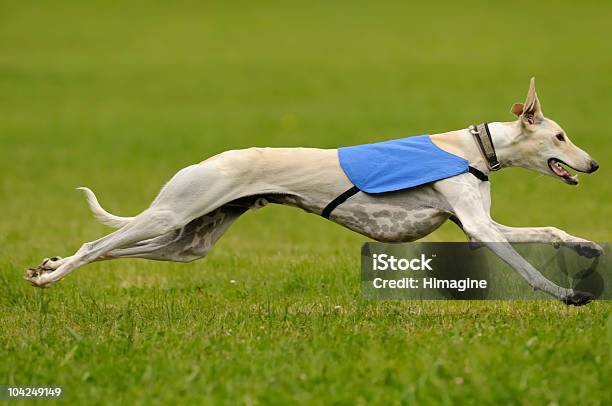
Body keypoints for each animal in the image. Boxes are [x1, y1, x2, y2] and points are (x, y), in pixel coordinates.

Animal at [27, 77, 604, 304]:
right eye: (560, 136)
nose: (594, 164)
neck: (474, 147)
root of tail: (208, 161)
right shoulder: (480, 229)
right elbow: (525, 265)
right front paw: (566, 294)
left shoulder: (473, 222)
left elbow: (549, 230)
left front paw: (586, 246)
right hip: (173, 213)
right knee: (97, 245)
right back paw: (50, 276)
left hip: (189, 242)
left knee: (117, 249)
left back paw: (47, 266)